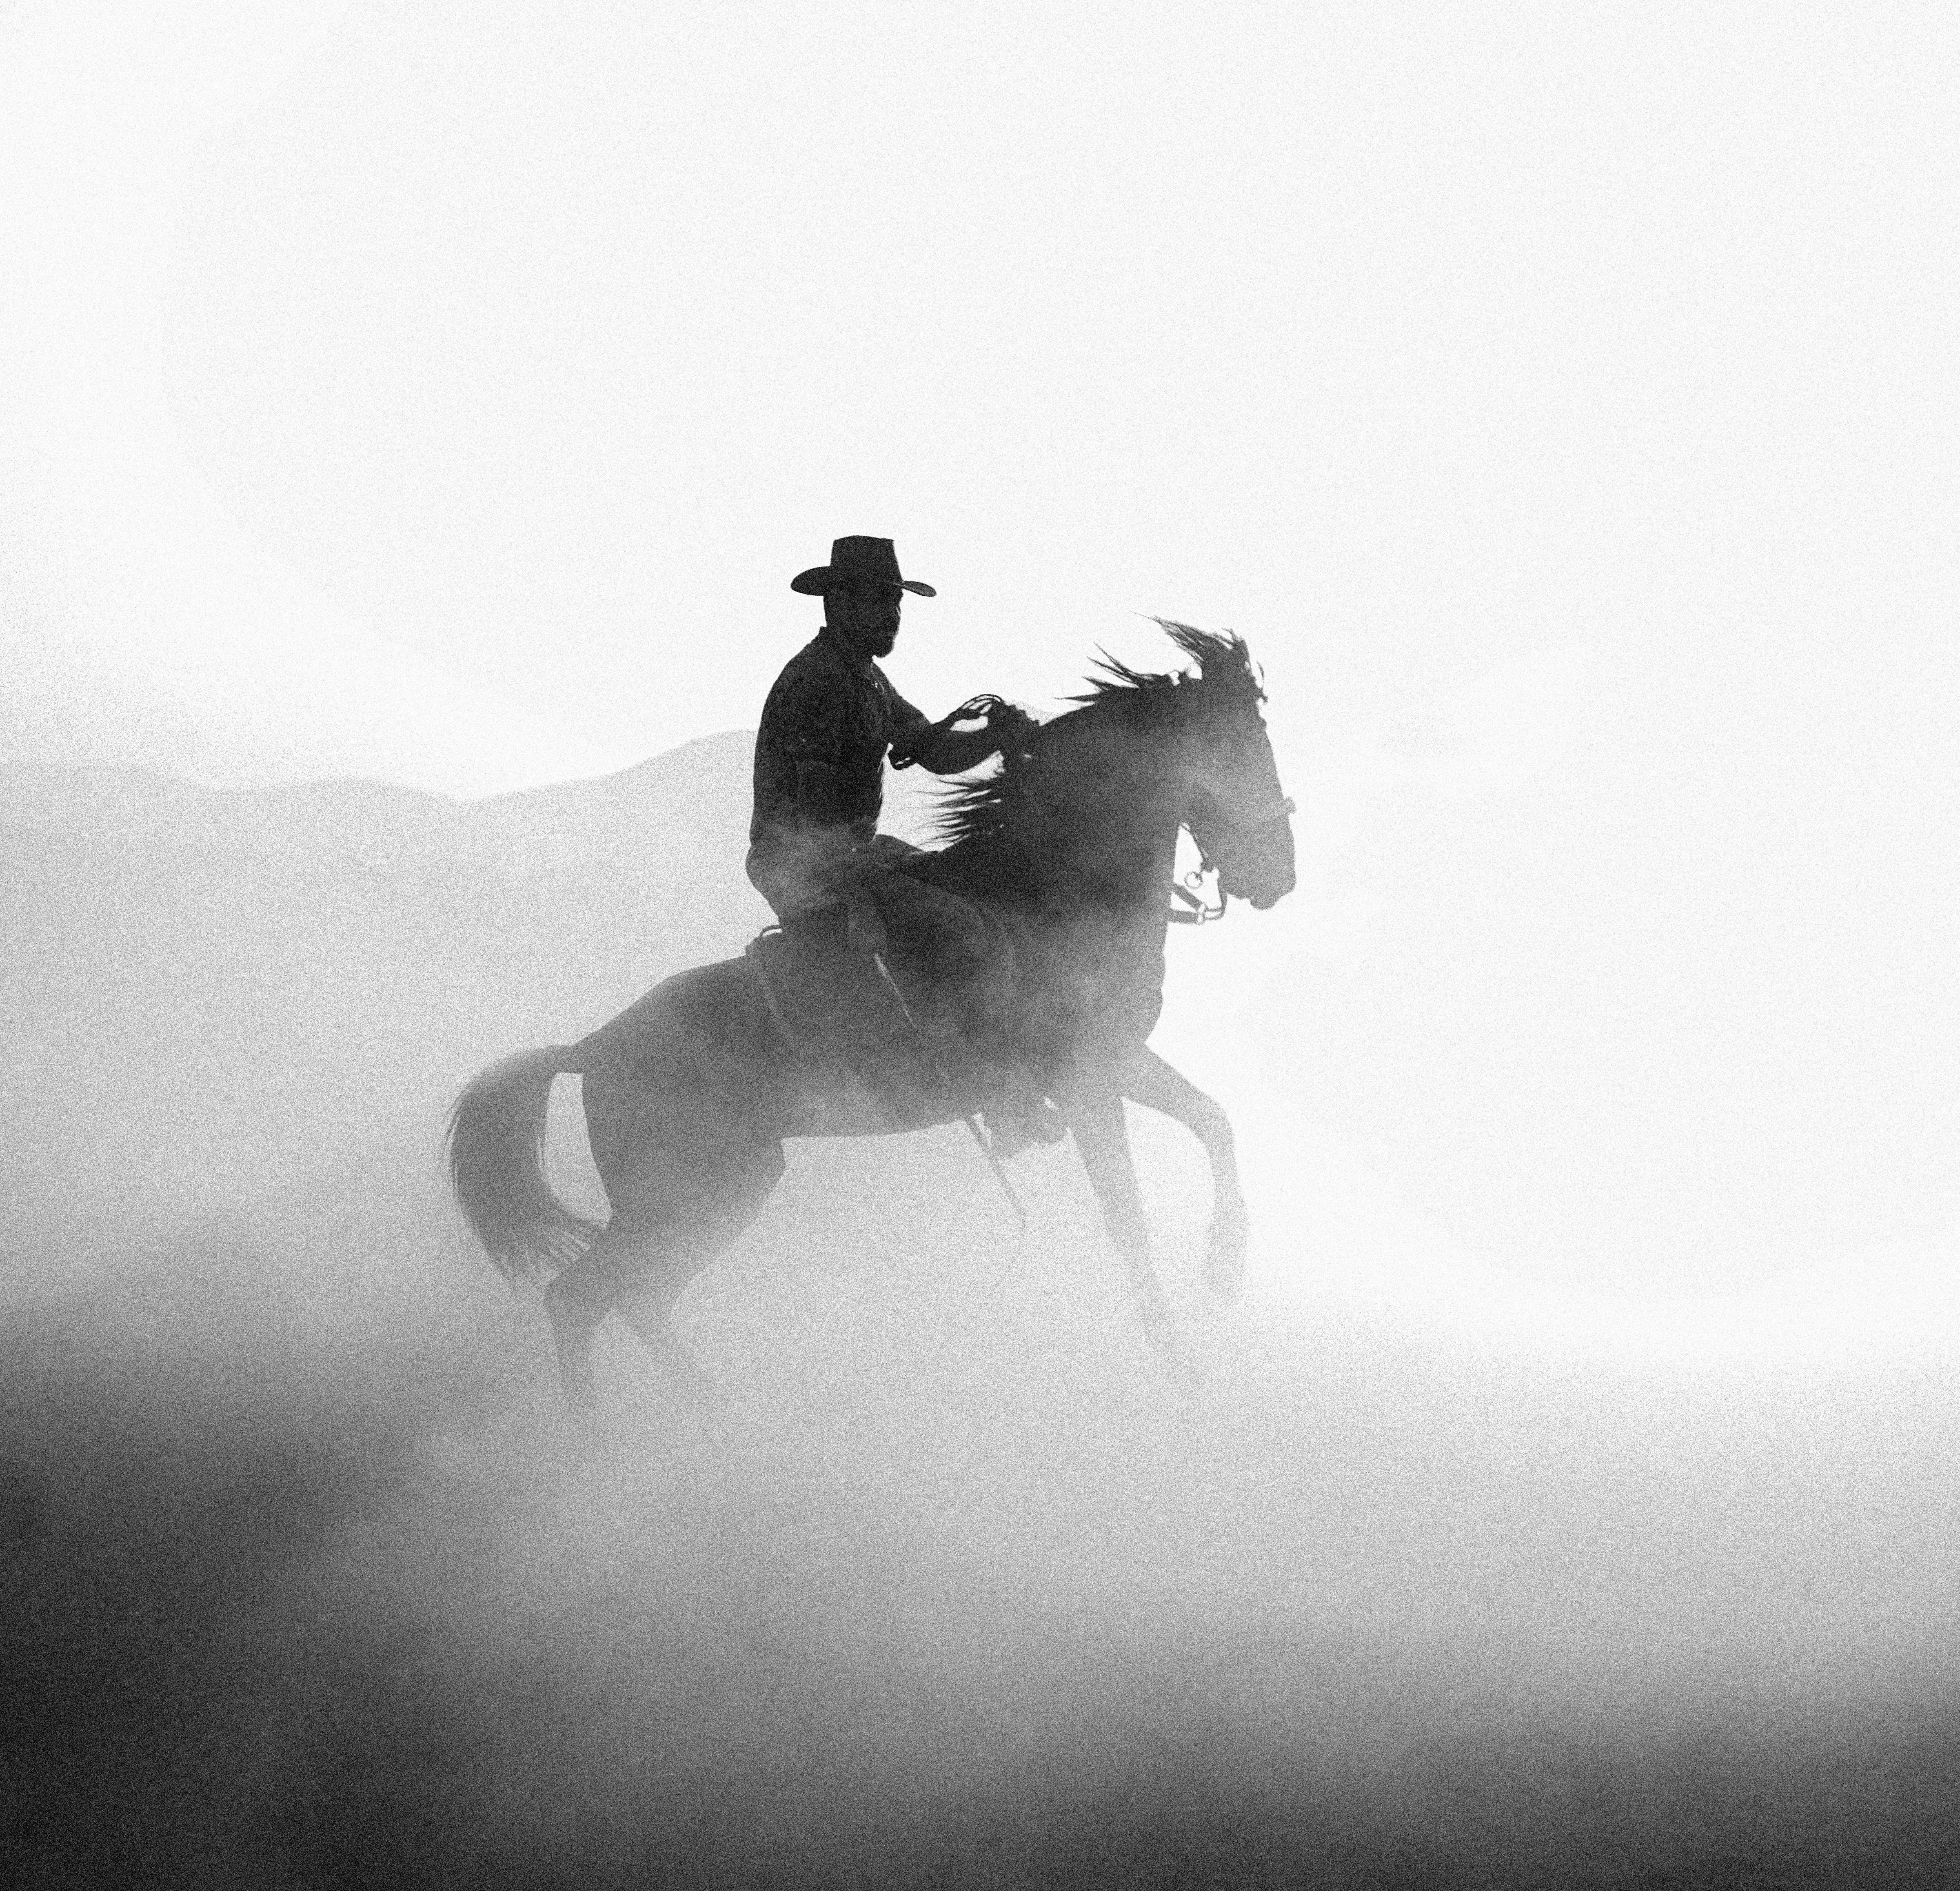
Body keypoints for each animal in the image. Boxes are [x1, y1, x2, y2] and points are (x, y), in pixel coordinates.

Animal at [447, 627, 1301, 1411]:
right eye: (1234, 746)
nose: (1279, 874)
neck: (1044, 887)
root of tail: (592, 1048)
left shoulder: (1119, 1061)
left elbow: (1213, 1120)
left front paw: (1224, 1267)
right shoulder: (1086, 1083)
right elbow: (1129, 1220)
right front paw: (1182, 1372)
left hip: (723, 1189)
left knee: (630, 1298)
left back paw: (711, 1425)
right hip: (687, 1192)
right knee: (584, 1296)